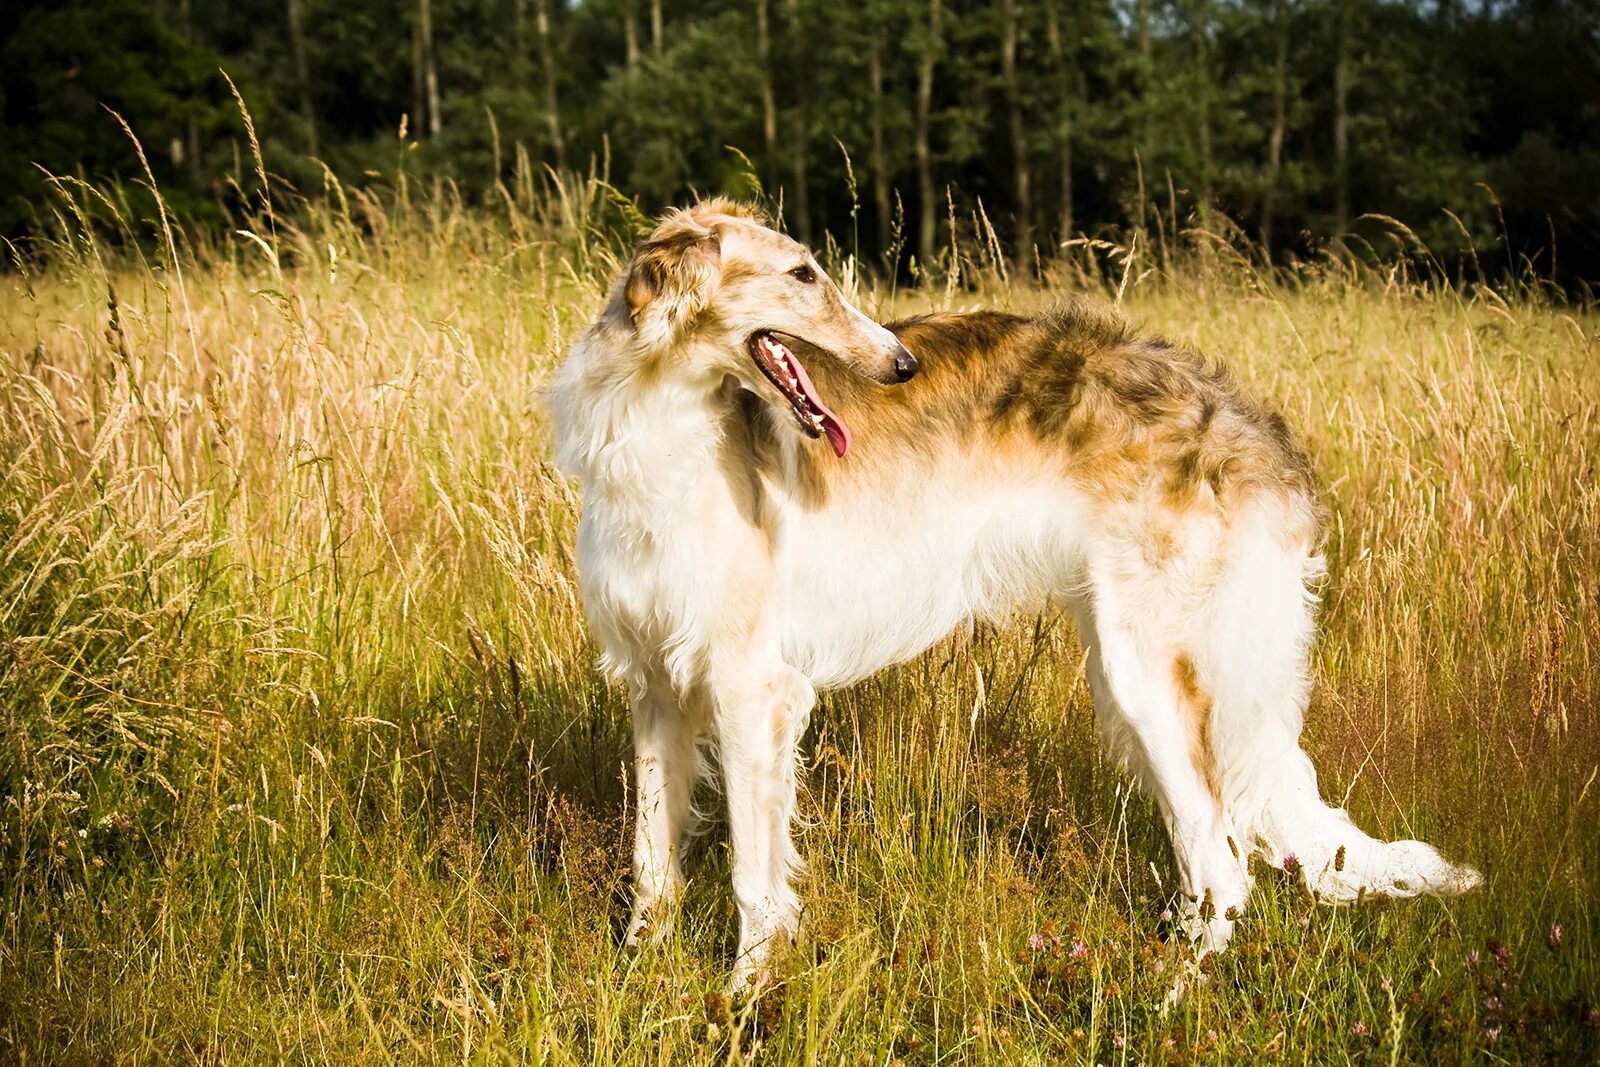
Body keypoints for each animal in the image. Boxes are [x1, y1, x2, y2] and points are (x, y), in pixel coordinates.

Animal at [553, 198, 1484, 985]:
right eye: (803, 274)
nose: (901, 363)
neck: (657, 432)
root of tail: (1247, 423)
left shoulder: (754, 686)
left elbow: (754, 877)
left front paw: (744, 998)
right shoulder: (654, 683)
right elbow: (652, 861)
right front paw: (635, 973)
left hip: (1149, 673)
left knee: (1224, 867)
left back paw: (1167, 1002)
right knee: (1214, 859)